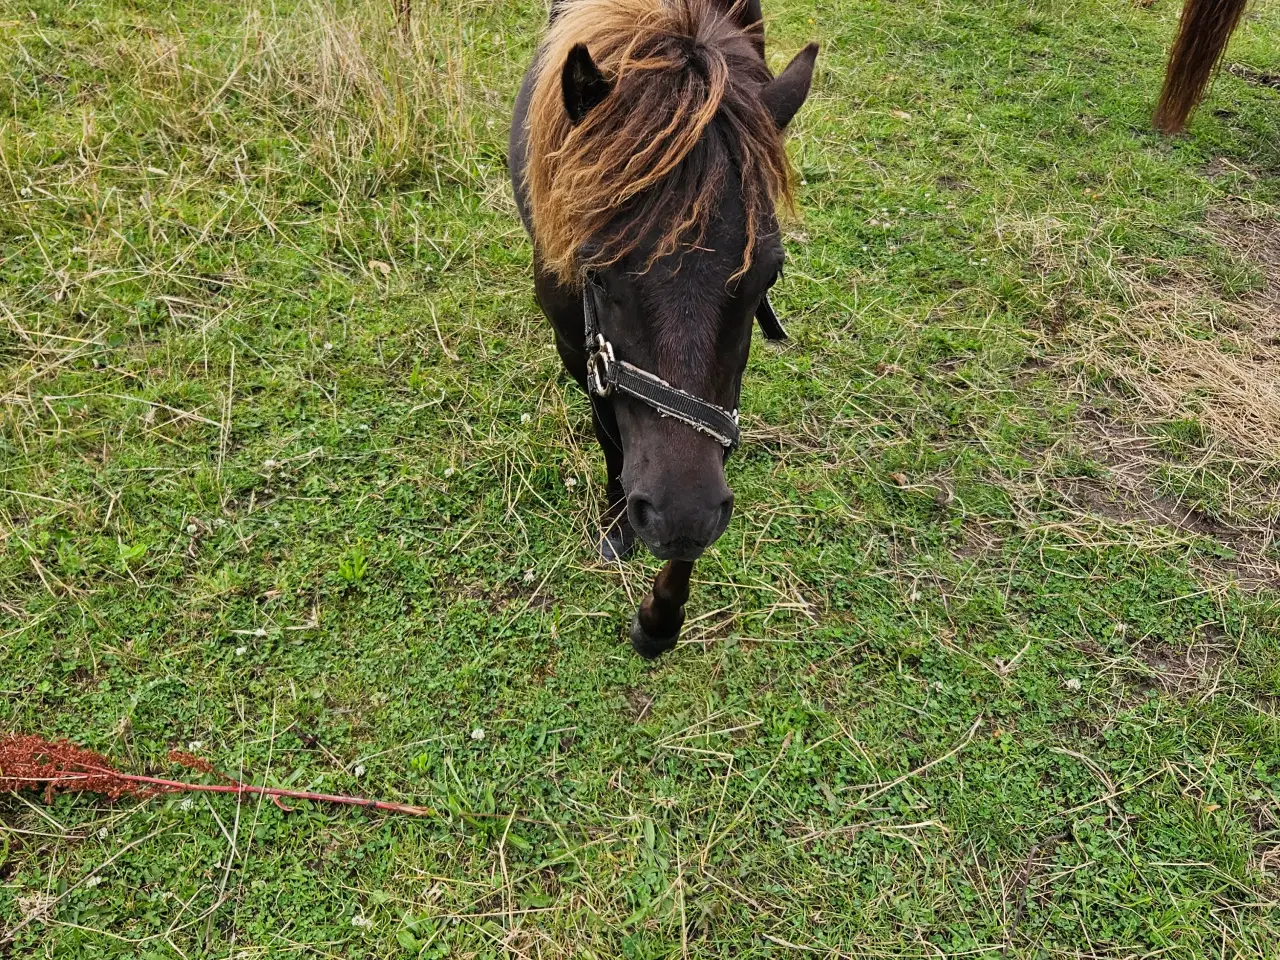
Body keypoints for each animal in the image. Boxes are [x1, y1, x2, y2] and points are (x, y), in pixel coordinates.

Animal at [506, 0, 814, 660]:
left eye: (769, 272)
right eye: (595, 270)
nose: (679, 520)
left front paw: (660, 615)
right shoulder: (579, 350)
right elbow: (613, 438)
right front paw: (619, 524)